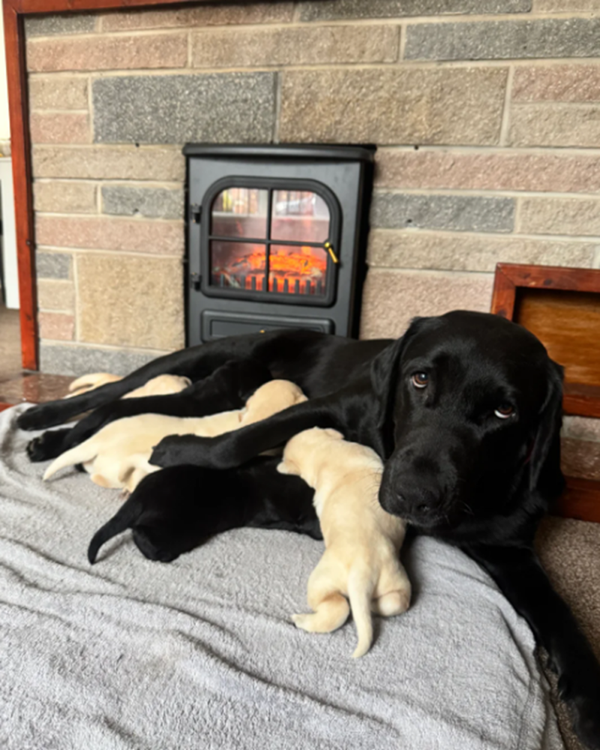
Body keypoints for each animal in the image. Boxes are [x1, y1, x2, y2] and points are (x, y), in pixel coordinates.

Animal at [278, 428, 410, 658]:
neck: (326, 450)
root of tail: (363, 571)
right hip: (397, 582)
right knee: (394, 602)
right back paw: (372, 605)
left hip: (321, 580)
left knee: (337, 608)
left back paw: (300, 620)